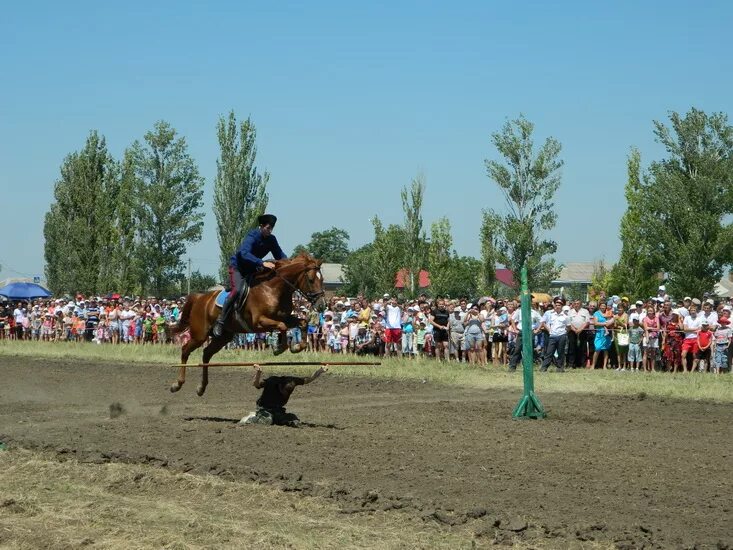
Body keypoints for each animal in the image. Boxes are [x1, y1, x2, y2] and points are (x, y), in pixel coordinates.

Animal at [170, 254, 324, 396]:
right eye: (311, 280)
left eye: (322, 280)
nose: (321, 305)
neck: (273, 289)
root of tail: (199, 298)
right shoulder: (259, 322)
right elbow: (282, 326)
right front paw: (279, 348)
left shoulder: (285, 317)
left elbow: (302, 323)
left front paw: (297, 347)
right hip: (200, 335)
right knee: (185, 350)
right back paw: (177, 384)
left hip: (223, 337)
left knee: (206, 354)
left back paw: (201, 387)